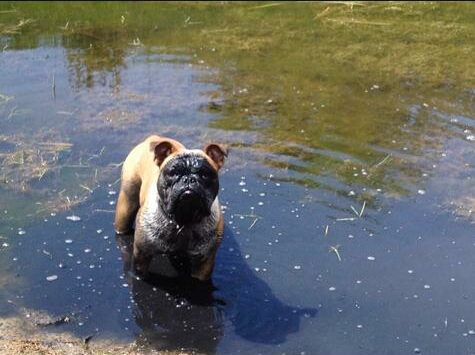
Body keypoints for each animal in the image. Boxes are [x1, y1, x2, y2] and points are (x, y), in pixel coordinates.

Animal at [114, 135, 228, 282]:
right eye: (173, 173)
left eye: (205, 174)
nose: (189, 179)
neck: (184, 220)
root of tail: (153, 137)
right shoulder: (141, 255)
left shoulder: (204, 263)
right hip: (126, 203)